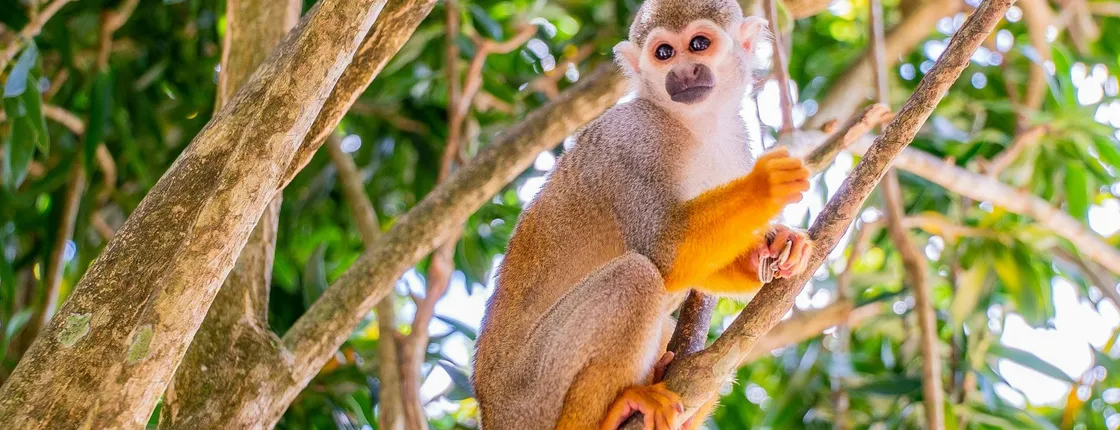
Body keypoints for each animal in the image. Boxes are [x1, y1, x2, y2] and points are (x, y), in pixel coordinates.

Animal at [472, 1, 814, 429]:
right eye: (663, 53)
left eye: (699, 45)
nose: (683, 72)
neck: (693, 125)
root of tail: (490, 413)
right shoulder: (634, 140)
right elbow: (664, 251)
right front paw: (763, 186)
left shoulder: (736, 140)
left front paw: (776, 247)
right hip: (532, 395)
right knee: (634, 278)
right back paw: (615, 409)